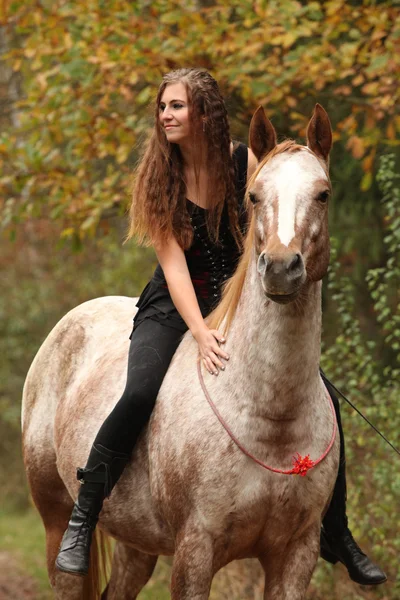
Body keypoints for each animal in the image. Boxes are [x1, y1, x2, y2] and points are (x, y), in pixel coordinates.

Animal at [21, 104, 340, 600]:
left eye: (322, 194)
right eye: (253, 196)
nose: (280, 268)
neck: (271, 414)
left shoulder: (295, 554)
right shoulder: (195, 549)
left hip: (136, 541)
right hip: (56, 518)